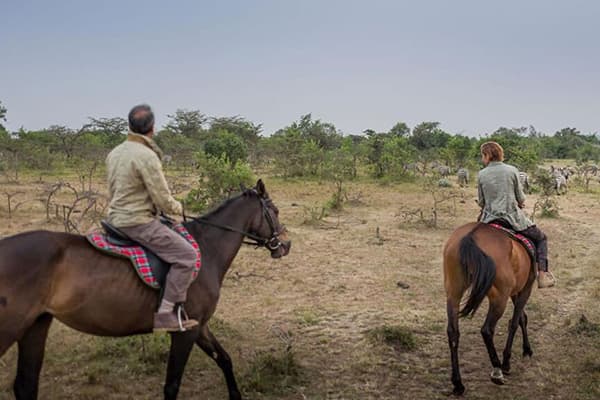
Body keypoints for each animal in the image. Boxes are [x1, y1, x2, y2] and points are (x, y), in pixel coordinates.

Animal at [0, 180, 290, 398]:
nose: (286, 245)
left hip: (36, 325)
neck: (207, 250)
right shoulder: (184, 332)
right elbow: (172, 385)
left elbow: (225, 359)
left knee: (26, 386)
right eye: (274, 211)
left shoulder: (200, 325)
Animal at [442, 223, 536, 396]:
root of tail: (471, 236)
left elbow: (521, 318)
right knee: (487, 329)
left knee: (453, 332)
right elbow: (515, 322)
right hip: (499, 297)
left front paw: (525, 350)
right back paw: (497, 370)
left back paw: (458, 383)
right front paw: (511, 360)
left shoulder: (515, 290)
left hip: (453, 292)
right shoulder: (526, 287)